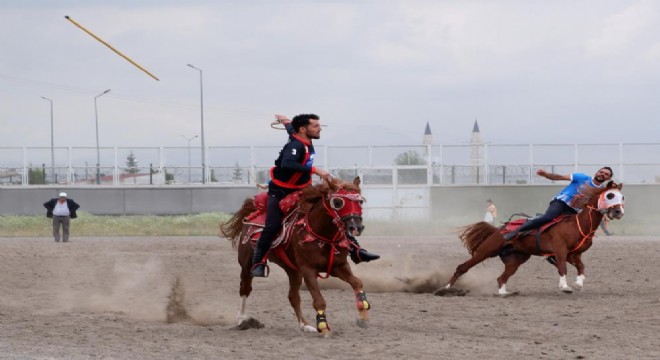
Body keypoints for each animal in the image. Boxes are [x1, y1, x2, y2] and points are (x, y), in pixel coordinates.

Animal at [218, 177, 368, 334]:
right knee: (245, 289)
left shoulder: (338, 266)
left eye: (360, 201)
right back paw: (243, 320)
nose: (356, 227)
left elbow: (357, 283)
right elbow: (319, 300)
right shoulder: (308, 270)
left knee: (293, 297)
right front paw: (323, 327)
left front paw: (363, 316)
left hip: (293, 271)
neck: (321, 235)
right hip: (247, 266)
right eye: (338, 202)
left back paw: (305, 325)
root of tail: (252, 215)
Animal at [438, 180, 624, 296]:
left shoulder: (574, 254)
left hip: (516, 259)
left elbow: (581, 267)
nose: (618, 212)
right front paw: (565, 287)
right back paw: (445, 289)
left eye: (622, 197)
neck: (578, 224)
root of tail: (499, 229)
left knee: (501, 278)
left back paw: (504, 293)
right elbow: (562, 268)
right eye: (610, 195)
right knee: (462, 267)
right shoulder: (560, 250)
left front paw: (578, 283)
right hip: (486, 251)